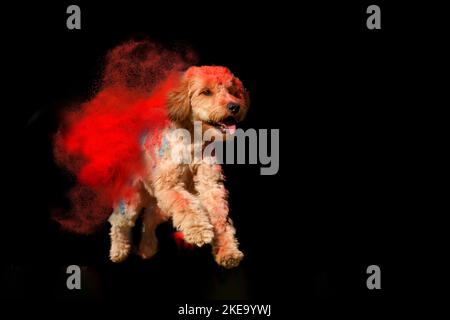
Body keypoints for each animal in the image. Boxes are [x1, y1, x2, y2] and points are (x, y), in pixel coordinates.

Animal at [108, 65, 250, 268]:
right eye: (206, 92)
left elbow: (220, 217)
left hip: (159, 205)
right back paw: (118, 251)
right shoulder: (170, 185)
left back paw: (147, 247)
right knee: (119, 221)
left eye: (232, 91)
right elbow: (187, 204)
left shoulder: (211, 186)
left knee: (148, 220)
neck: (193, 140)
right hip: (131, 199)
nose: (234, 106)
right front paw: (199, 231)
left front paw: (227, 251)